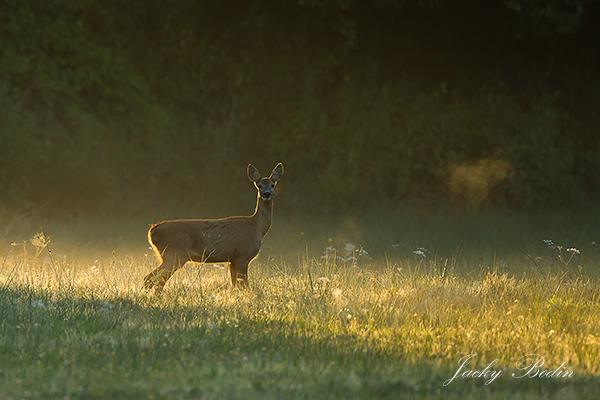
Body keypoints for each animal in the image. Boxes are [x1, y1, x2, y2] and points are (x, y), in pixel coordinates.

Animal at [145, 162, 286, 294]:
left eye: (273, 185)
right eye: (259, 185)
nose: (266, 194)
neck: (257, 227)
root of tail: (152, 231)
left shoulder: (232, 259)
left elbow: (234, 284)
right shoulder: (243, 255)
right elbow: (244, 285)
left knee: (156, 280)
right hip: (174, 254)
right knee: (151, 278)